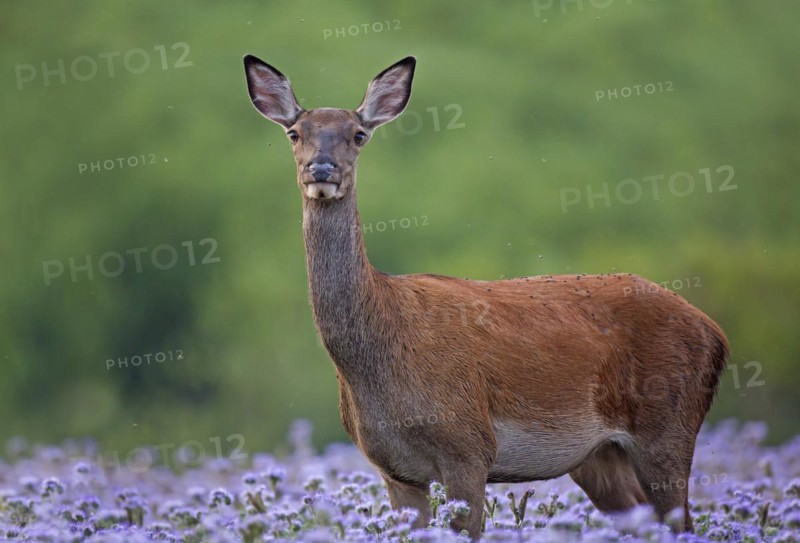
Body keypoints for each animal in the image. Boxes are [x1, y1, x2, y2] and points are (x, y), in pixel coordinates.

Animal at [243, 54, 729, 539]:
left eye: (358, 134)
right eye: (294, 133)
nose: (322, 169)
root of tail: (716, 333)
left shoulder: (468, 446)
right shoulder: (394, 470)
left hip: (667, 425)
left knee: (683, 521)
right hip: (601, 455)